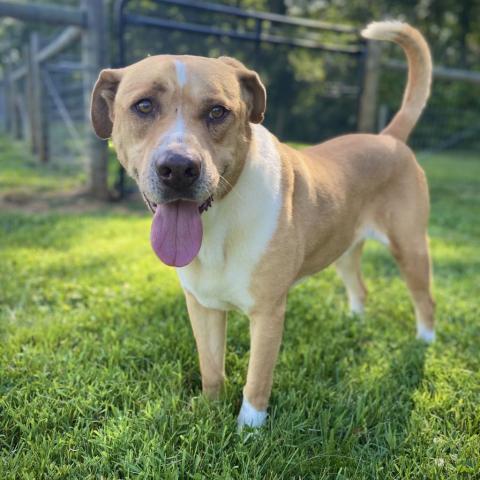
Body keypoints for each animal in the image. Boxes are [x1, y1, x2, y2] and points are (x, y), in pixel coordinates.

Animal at [90, 21, 436, 428]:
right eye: (143, 106)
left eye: (217, 111)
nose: (178, 168)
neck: (217, 222)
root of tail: (389, 139)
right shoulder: (203, 306)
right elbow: (211, 368)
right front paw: (209, 411)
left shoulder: (268, 313)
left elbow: (257, 379)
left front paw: (249, 430)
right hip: (344, 247)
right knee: (360, 288)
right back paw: (355, 323)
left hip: (410, 247)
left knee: (425, 300)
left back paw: (424, 343)